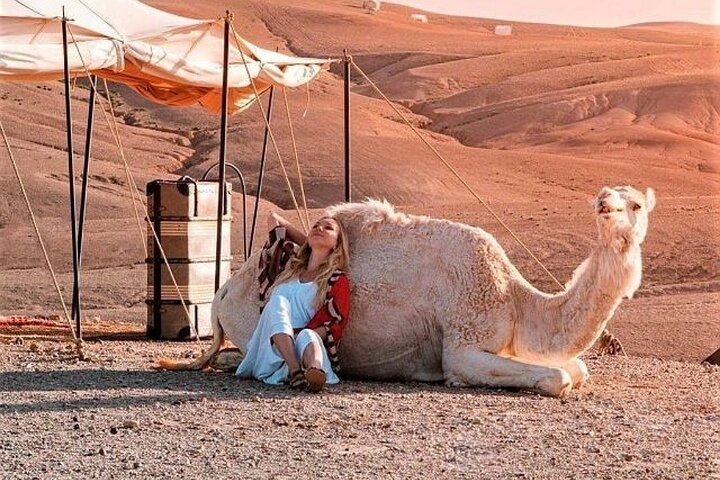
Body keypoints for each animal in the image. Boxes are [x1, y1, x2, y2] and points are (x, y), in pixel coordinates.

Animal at [160, 185, 655, 397]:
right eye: (608, 196)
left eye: (634, 202)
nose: (604, 205)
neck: (515, 301)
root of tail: (223, 293)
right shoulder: (462, 346)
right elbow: (558, 378)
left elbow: (578, 369)